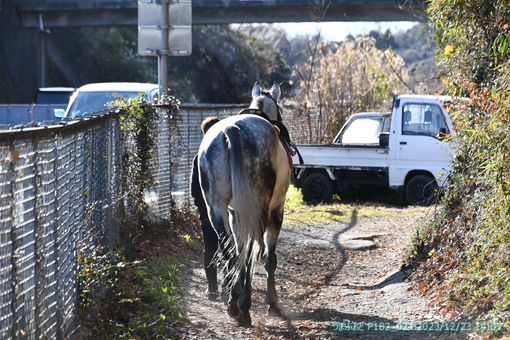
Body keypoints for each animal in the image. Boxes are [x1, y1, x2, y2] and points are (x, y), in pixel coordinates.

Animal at [196, 82, 290, 326]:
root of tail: (233, 129)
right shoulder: (276, 211)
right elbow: (268, 258)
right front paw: (272, 302)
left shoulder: (234, 213)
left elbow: (238, 247)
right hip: (259, 209)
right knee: (249, 252)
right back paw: (244, 304)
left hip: (216, 207)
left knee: (229, 247)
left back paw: (233, 298)